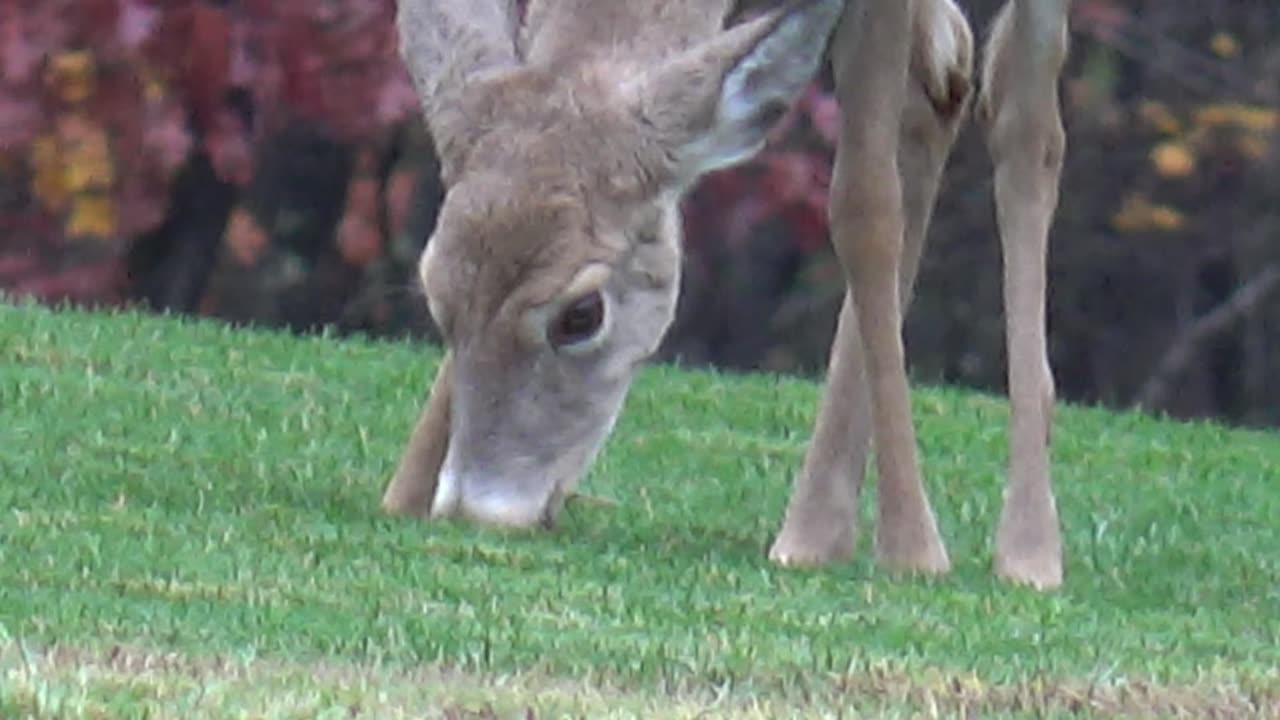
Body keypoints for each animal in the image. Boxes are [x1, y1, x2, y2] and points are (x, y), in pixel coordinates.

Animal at [382, 0, 1069, 590]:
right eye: (433, 290)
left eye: (581, 315)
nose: (478, 507)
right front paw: (408, 491)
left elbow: (865, 202)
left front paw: (910, 549)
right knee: (943, 78)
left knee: (1025, 111)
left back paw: (1027, 548)